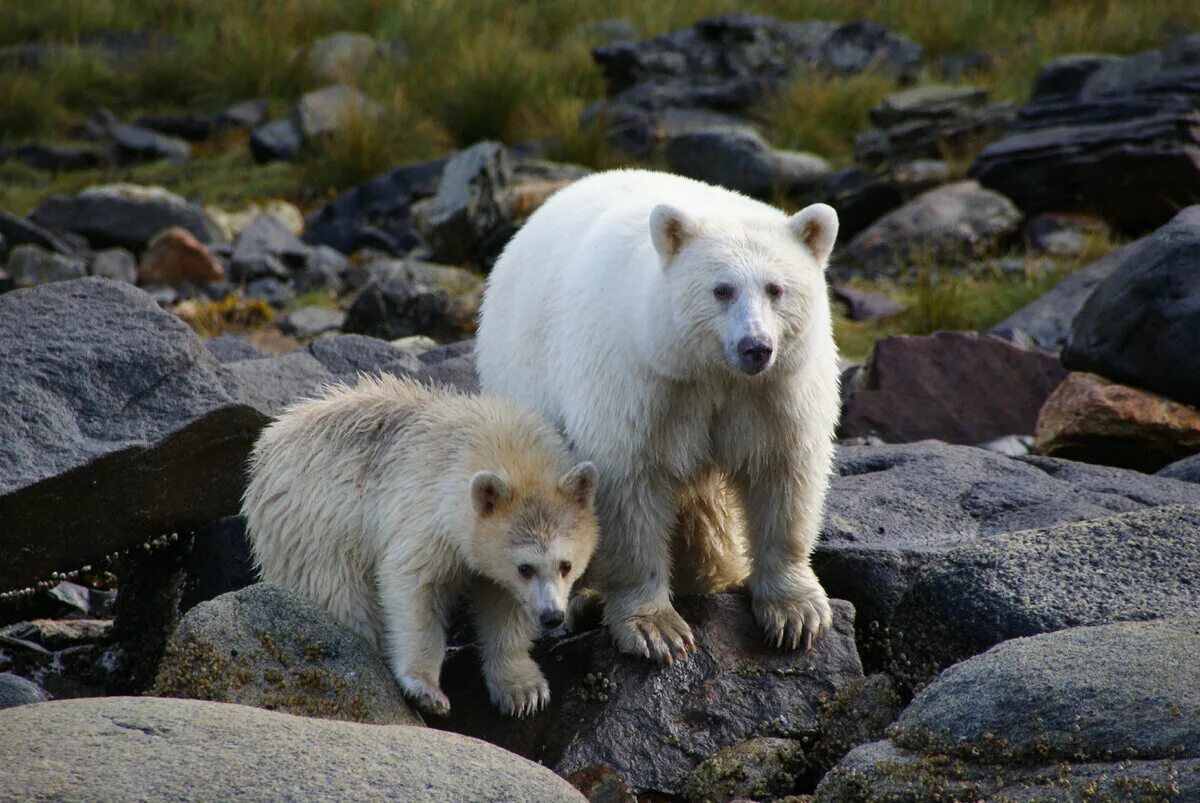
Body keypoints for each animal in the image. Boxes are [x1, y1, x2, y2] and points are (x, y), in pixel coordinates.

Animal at [242, 372, 600, 715]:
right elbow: (414, 585)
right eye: (524, 568)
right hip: (315, 529)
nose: (552, 616)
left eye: (565, 565)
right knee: (341, 595)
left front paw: (523, 691)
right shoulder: (427, 512)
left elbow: (504, 605)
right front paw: (426, 689)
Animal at [472, 169, 840, 662]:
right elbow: (629, 484)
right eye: (721, 290)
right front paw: (655, 629)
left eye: (776, 288)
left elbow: (784, 472)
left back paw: (715, 570)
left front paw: (796, 614)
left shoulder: (774, 391)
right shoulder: (643, 381)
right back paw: (585, 598)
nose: (755, 346)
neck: (709, 371)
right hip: (524, 376)